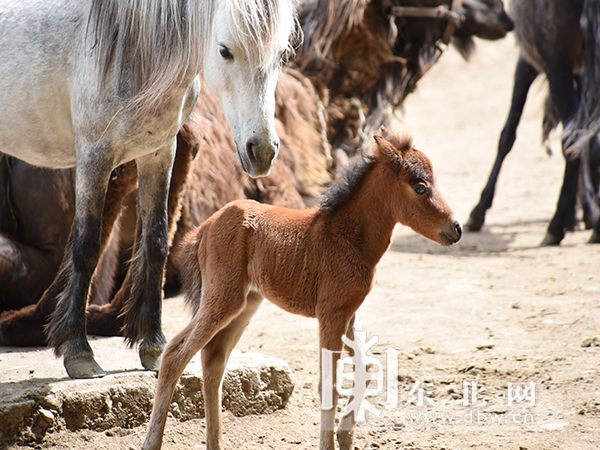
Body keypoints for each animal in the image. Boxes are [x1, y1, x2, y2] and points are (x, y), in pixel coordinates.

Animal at [142, 126, 464, 450]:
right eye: (420, 187)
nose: (456, 228)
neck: (349, 237)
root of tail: (205, 227)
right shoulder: (330, 313)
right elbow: (329, 385)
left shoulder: (348, 312)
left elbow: (368, 368)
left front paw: (346, 436)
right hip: (223, 298)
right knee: (176, 354)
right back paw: (153, 441)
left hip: (245, 303)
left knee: (213, 359)